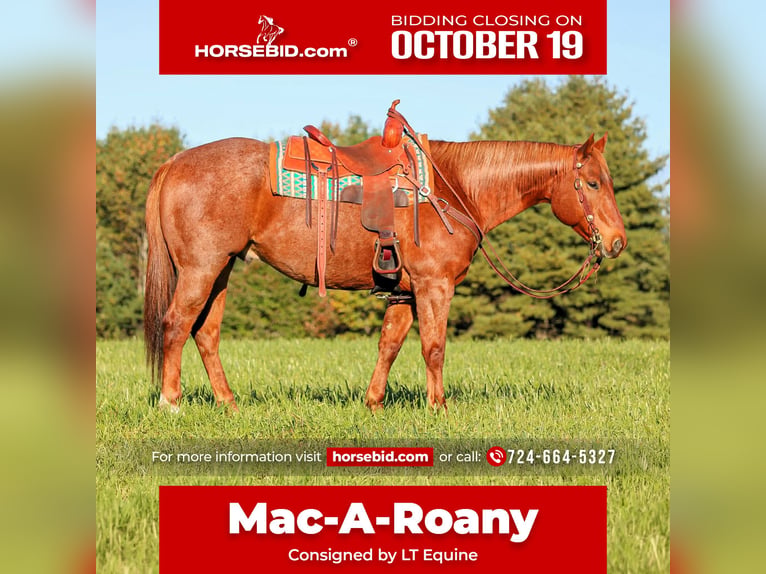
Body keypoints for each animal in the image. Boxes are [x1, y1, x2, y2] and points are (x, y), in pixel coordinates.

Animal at [143, 127, 626, 413]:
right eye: (593, 183)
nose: (617, 241)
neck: (455, 186)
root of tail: (174, 162)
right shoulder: (434, 286)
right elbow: (434, 347)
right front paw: (439, 408)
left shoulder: (405, 292)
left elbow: (390, 345)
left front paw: (374, 403)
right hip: (201, 269)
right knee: (176, 325)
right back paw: (171, 402)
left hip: (221, 270)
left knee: (206, 334)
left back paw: (229, 403)